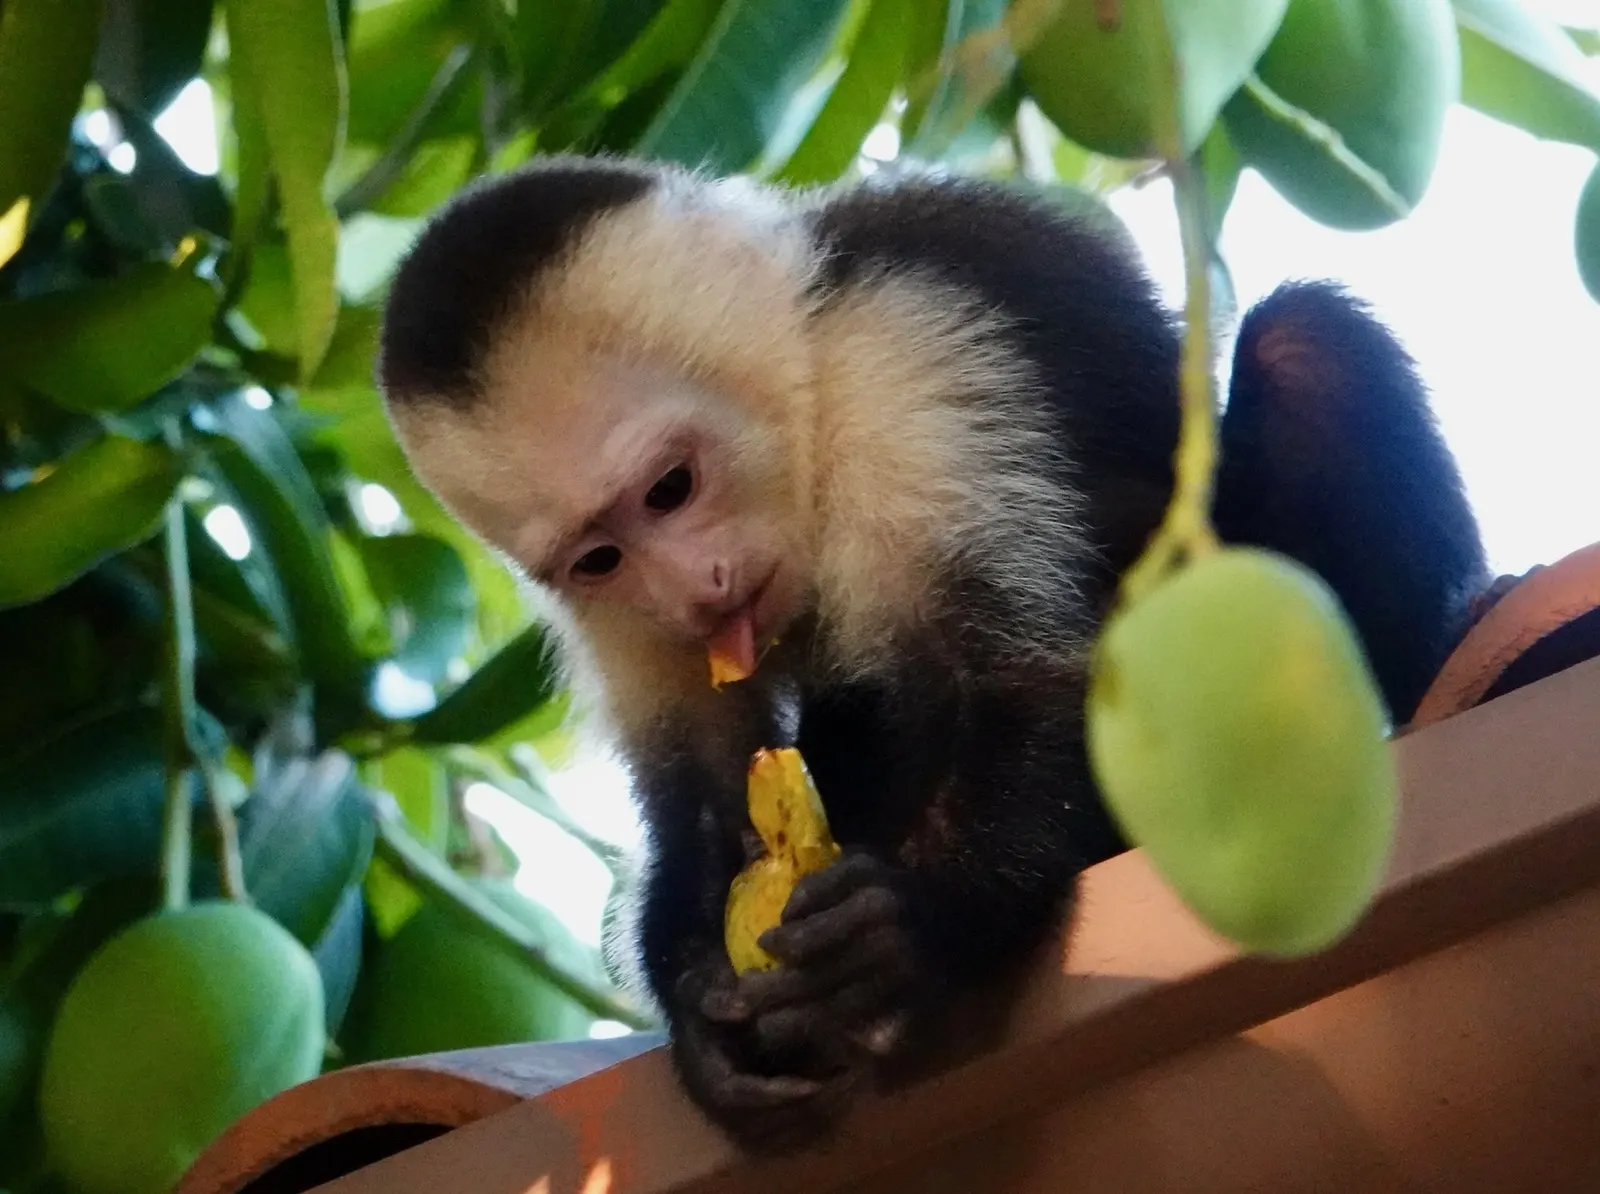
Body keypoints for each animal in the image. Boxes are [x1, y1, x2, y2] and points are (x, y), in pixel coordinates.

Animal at [373, 154, 1488, 1150]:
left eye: (671, 489)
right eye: (602, 554)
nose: (699, 590)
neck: (812, 398)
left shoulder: (905, 355)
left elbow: (1018, 674)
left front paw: (910, 930)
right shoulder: (612, 608)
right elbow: (701, 780)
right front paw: (702, 1020)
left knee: (1307, 344)